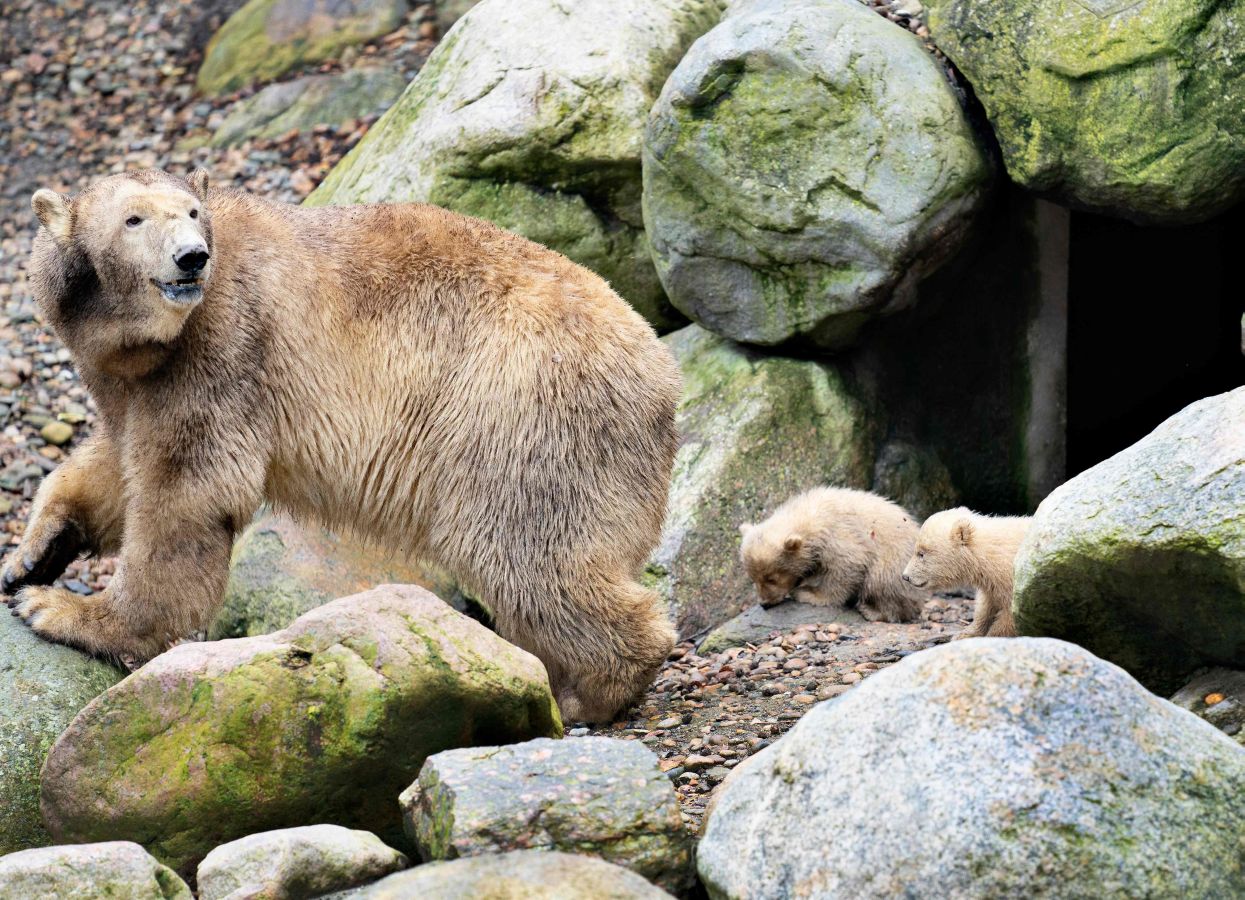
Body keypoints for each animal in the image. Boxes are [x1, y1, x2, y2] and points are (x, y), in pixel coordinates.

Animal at [4, 169, 682, 726]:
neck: (150, 342)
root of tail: (662, 377)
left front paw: (64, 612)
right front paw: (33, 554)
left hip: (520, 415)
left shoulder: (223, 349)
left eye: (192, 212)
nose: (192, 258)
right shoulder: (135, 380)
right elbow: (117, 462)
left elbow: (185, 496)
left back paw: (590, 690)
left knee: (527, 551)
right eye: (134, 219)